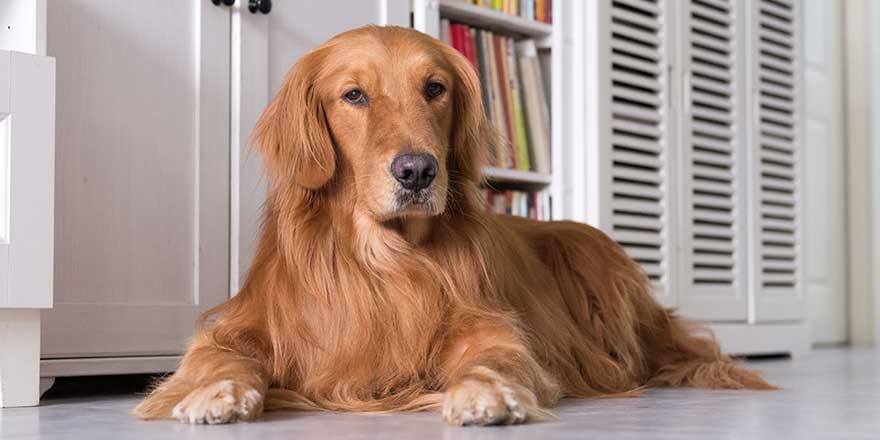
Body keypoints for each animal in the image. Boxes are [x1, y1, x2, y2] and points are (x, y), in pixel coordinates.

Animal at [131, 25, 768, 424]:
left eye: (434, 88)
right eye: (353, 95)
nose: (417, 170)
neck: (385, 259)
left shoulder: (492, 328)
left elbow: (494, 358)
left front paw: (486, 394)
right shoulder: (244, 325)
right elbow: (223, 357)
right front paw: (214, 392)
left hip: (593, 256)